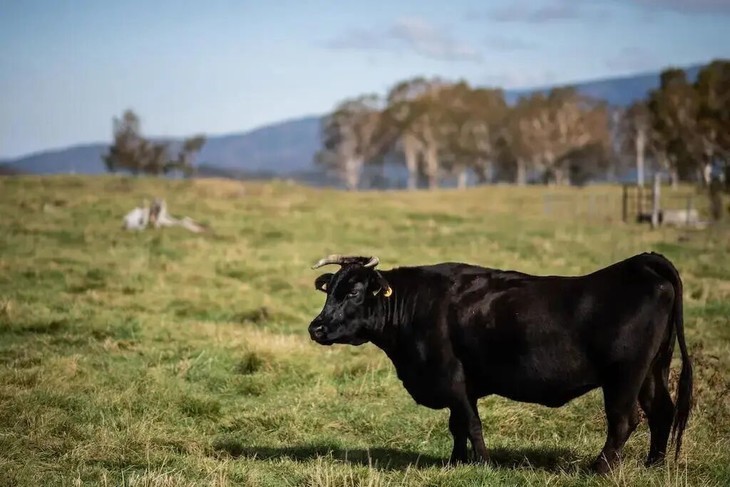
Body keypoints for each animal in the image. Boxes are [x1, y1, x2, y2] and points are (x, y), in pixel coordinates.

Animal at [307, 252, 693, 473]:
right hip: (654, 370)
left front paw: (485, 464)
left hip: (624, 377)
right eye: (330, 290)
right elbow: (457, 426)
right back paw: (653, 465)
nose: (316, 327)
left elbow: (471, 424)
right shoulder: (463, 387)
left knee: (624, 421)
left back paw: (599, 469)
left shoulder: (452, 378)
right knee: (661, 412)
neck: (415, 306)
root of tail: (641, 262)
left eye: (354, 291)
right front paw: (456, 463)